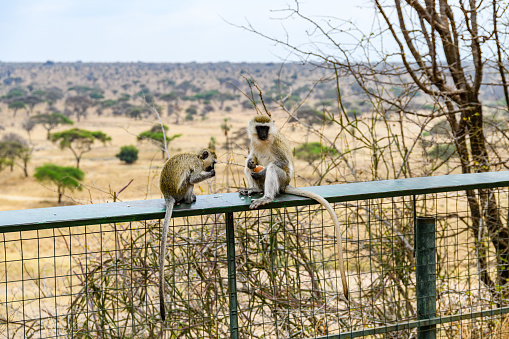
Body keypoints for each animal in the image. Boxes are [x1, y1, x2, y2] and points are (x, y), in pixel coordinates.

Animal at [158, 149, 215, 322]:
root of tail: (168, 195)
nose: (213, 167)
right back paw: (189, 199)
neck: (196, 156)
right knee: (189, 181)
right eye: (213, 162)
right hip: (181, 190)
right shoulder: (196, 165)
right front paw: (211, 174)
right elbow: (193, 178)